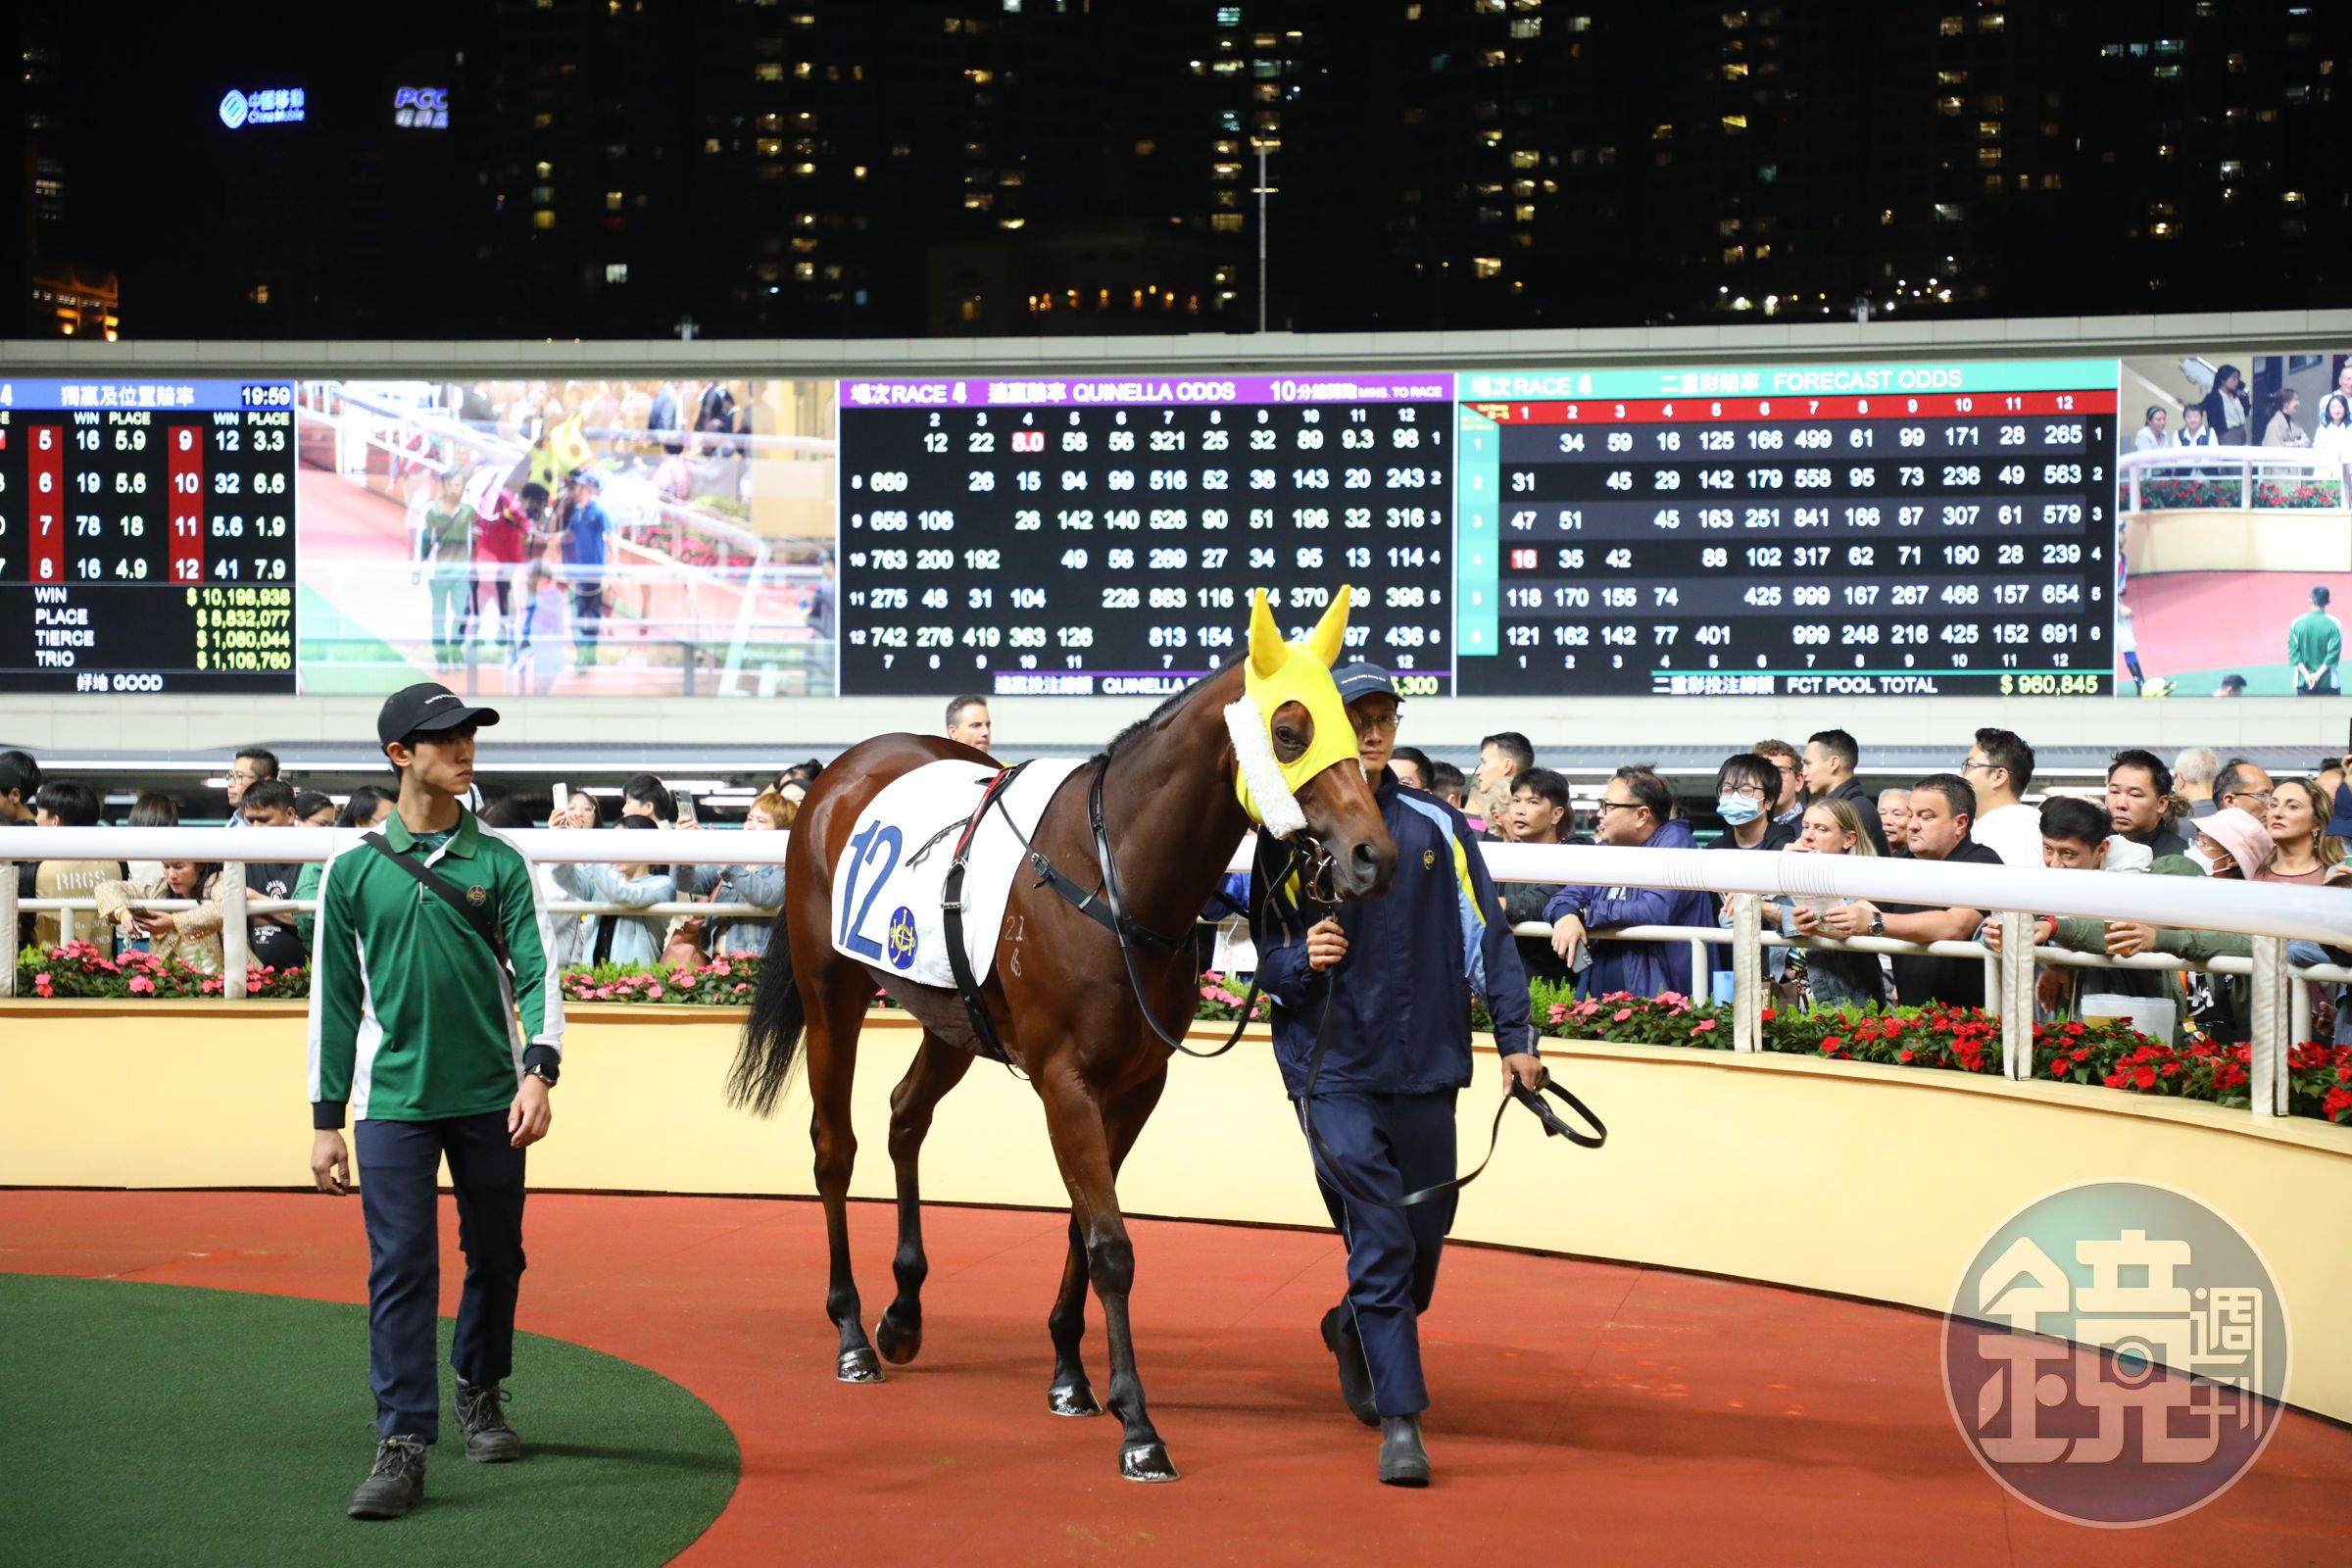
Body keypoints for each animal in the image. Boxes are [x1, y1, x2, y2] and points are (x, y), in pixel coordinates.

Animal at [725, 588, 1398, 1482]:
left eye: (1352, 728)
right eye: (1289, 730)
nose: (1372, 855)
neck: (1116, 879)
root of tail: (840, 774)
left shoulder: (1137, 1084)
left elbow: (1086, 1220)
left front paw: (1072, 1378)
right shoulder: (1064, 1079)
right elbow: (1111, 1243)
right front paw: (1138, 1425)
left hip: (952, 1015)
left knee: (906, 1115)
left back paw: (903, 1314)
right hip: (831, 991)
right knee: (835, 1147)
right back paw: (853, 1334)